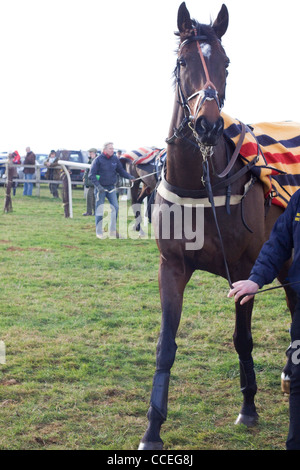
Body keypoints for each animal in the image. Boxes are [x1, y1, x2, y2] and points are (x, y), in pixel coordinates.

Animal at [139, 3, 298, 452]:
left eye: (225, 63)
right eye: (183, 62)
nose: (208, 124)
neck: (202, 185)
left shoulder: (244, 270)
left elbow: (242, 338)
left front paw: (248, 409)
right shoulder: (172, 267)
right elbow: (165, 345)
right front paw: (152, 429)